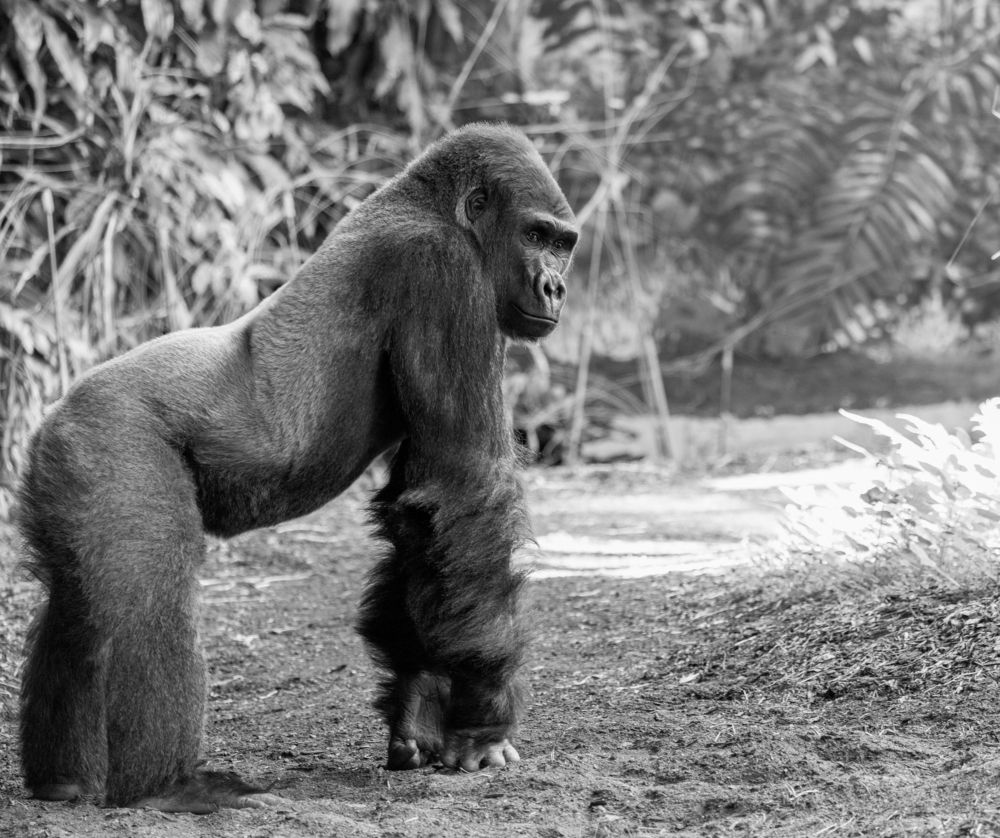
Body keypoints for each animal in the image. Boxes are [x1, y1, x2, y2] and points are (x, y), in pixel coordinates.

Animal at [17, 122, 578, 812]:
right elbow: (464, 486)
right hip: (112, 440)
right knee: (149, 601)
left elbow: (421, 513)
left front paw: (419, 707)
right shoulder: (441, 270)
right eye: (535, 236)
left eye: (563, 246)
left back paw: (62, 781)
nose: (555, 287)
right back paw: (168, 788)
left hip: (68, 462)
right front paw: (483, 718)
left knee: (73, 606)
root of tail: (53, 417)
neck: (429, 205)